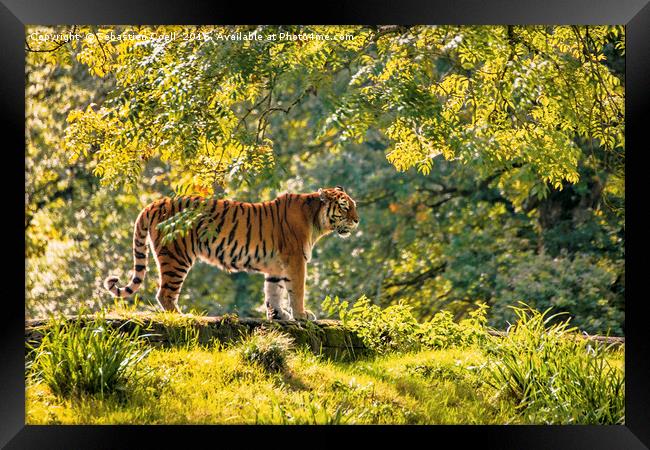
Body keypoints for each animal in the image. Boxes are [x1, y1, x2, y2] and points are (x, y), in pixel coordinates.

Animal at [104, 185, 362, 320]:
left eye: (353, 205)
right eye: (344, 207)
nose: (357, 220)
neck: (316, 220)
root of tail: (155, 203)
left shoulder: (277, 265)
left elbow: (274, 291)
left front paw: (279, 316)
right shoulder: (296, 260)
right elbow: (296, 290)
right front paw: (301, 315)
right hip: (176, 256)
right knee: (164, 293)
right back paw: (183, 317)